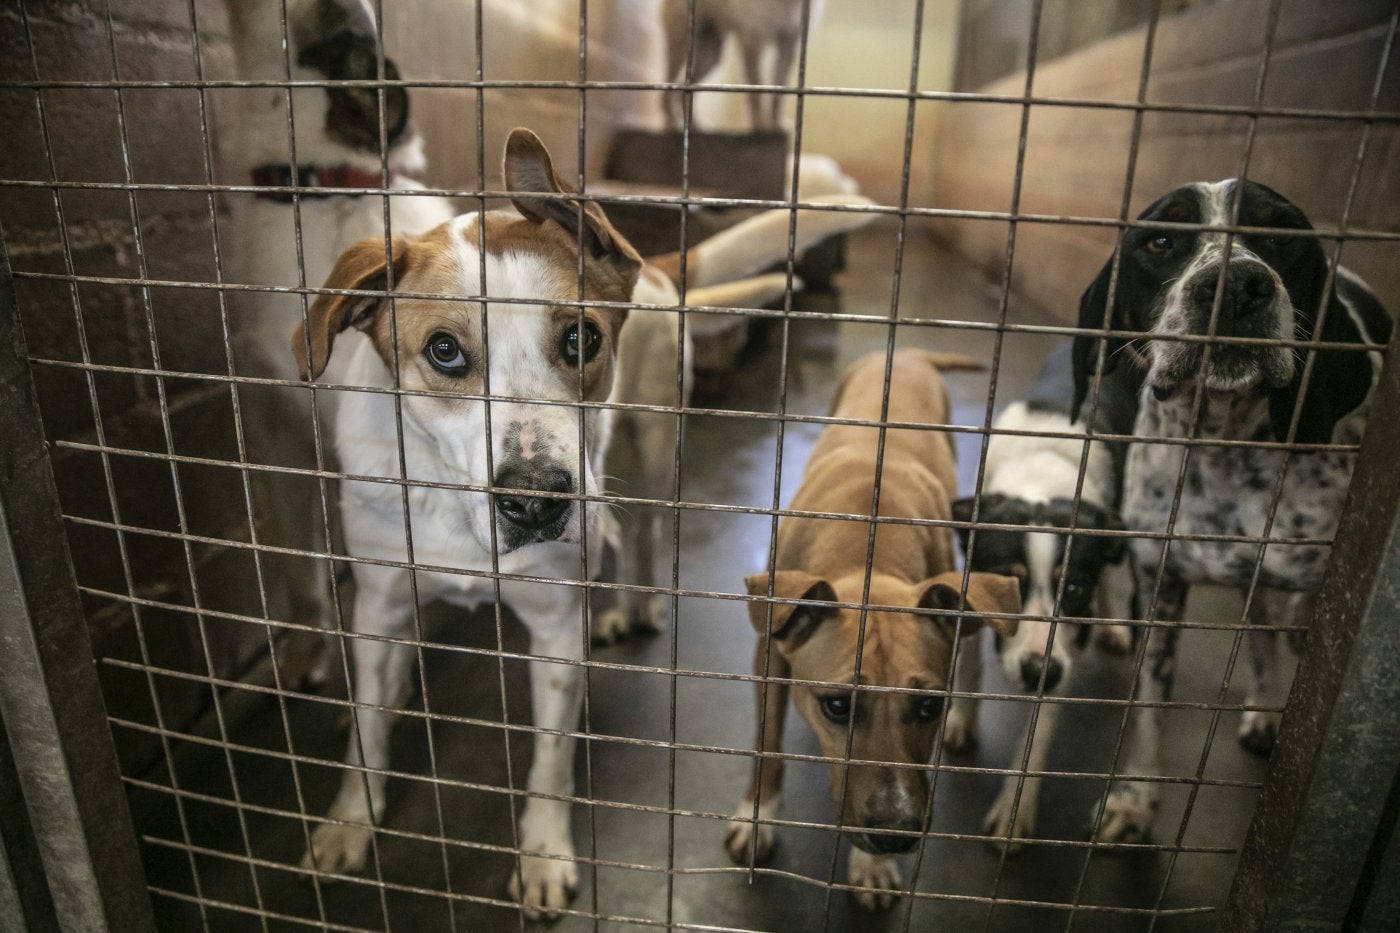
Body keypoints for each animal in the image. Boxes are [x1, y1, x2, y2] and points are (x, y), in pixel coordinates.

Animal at [728, 347, 1024, 902]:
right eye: (838, 707)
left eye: (930, 707)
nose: (893, 834)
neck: (868, 544)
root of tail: (906, 352)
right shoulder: (770, 655)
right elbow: (767, 746)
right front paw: (758, 818)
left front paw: (871, 865)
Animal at [1069, 177, 1388, 840]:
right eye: (1161, 240)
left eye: (1280, 234)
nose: (1238, 284)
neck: (1221, 451)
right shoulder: (1158, 587)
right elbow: (1149, 705)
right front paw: (1136, 798)